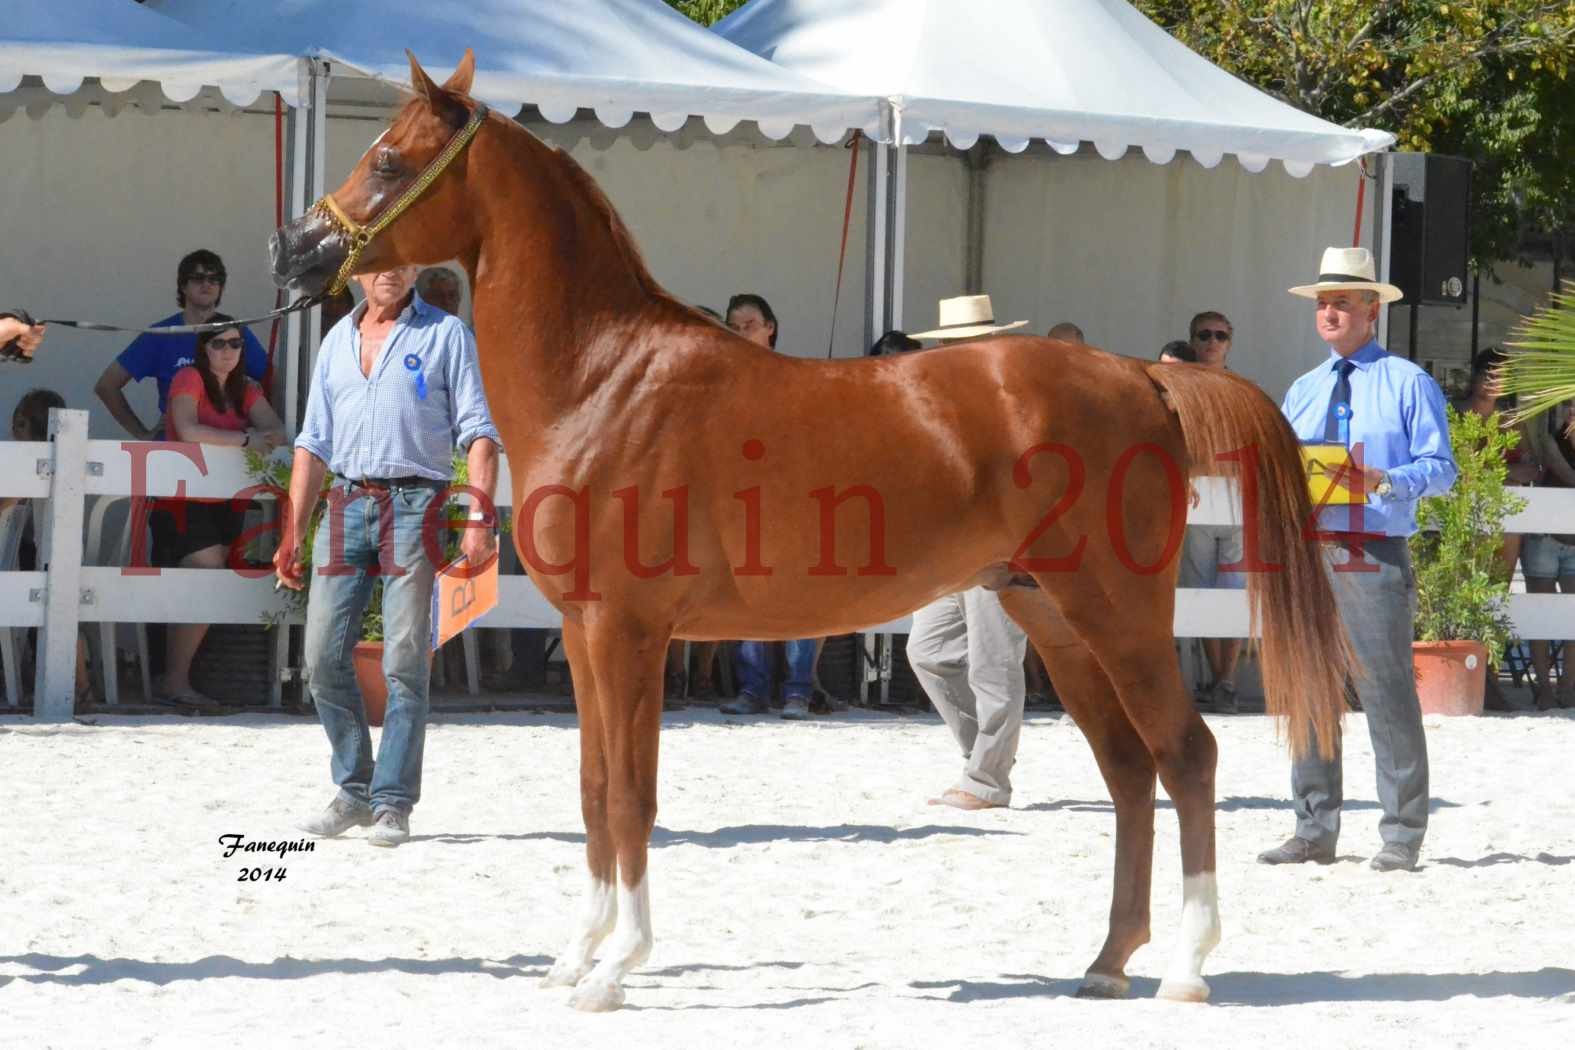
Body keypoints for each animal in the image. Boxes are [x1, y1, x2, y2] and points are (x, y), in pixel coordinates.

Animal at [270, 53, 1354, 1013]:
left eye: (390, 160)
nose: (292, 251)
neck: (603, 378)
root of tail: (1142, 375)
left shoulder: (629, 634)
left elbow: (631, 797)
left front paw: (615, 970)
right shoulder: (581, 634)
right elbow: (593, 789)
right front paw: (576, 957)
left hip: (1117, 614)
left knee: (1186, 756)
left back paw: (1186, 969)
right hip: (1051, 616)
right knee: (1130, 773)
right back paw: (1105, 963)